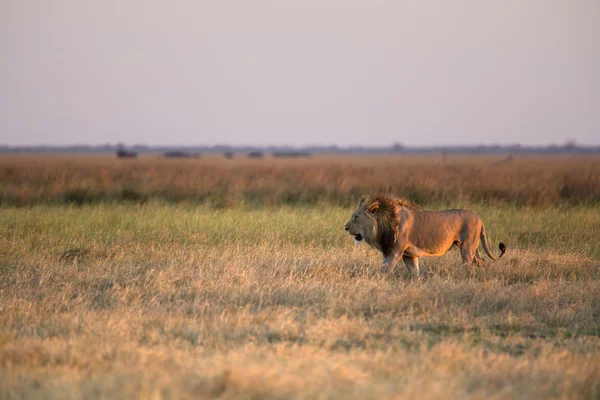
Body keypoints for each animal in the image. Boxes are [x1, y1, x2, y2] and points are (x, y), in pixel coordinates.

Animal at [342, 193, 506, 276]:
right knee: (483, 262)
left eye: (355, 217)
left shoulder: (394, 253)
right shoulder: (409, 255)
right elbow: (415, 272)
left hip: (467, 248)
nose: (345, 227)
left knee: (469, 265)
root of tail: (479, 218)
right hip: (474, 249)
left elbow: (383, 271)